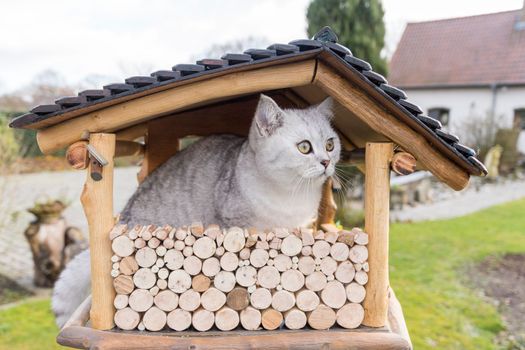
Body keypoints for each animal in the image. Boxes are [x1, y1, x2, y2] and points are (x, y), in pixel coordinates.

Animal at [50, 94, 340, 326]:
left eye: (330, 144)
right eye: (304, 147)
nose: (327, 162)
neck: (292, 195)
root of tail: (123, 217)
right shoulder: (237, 222)